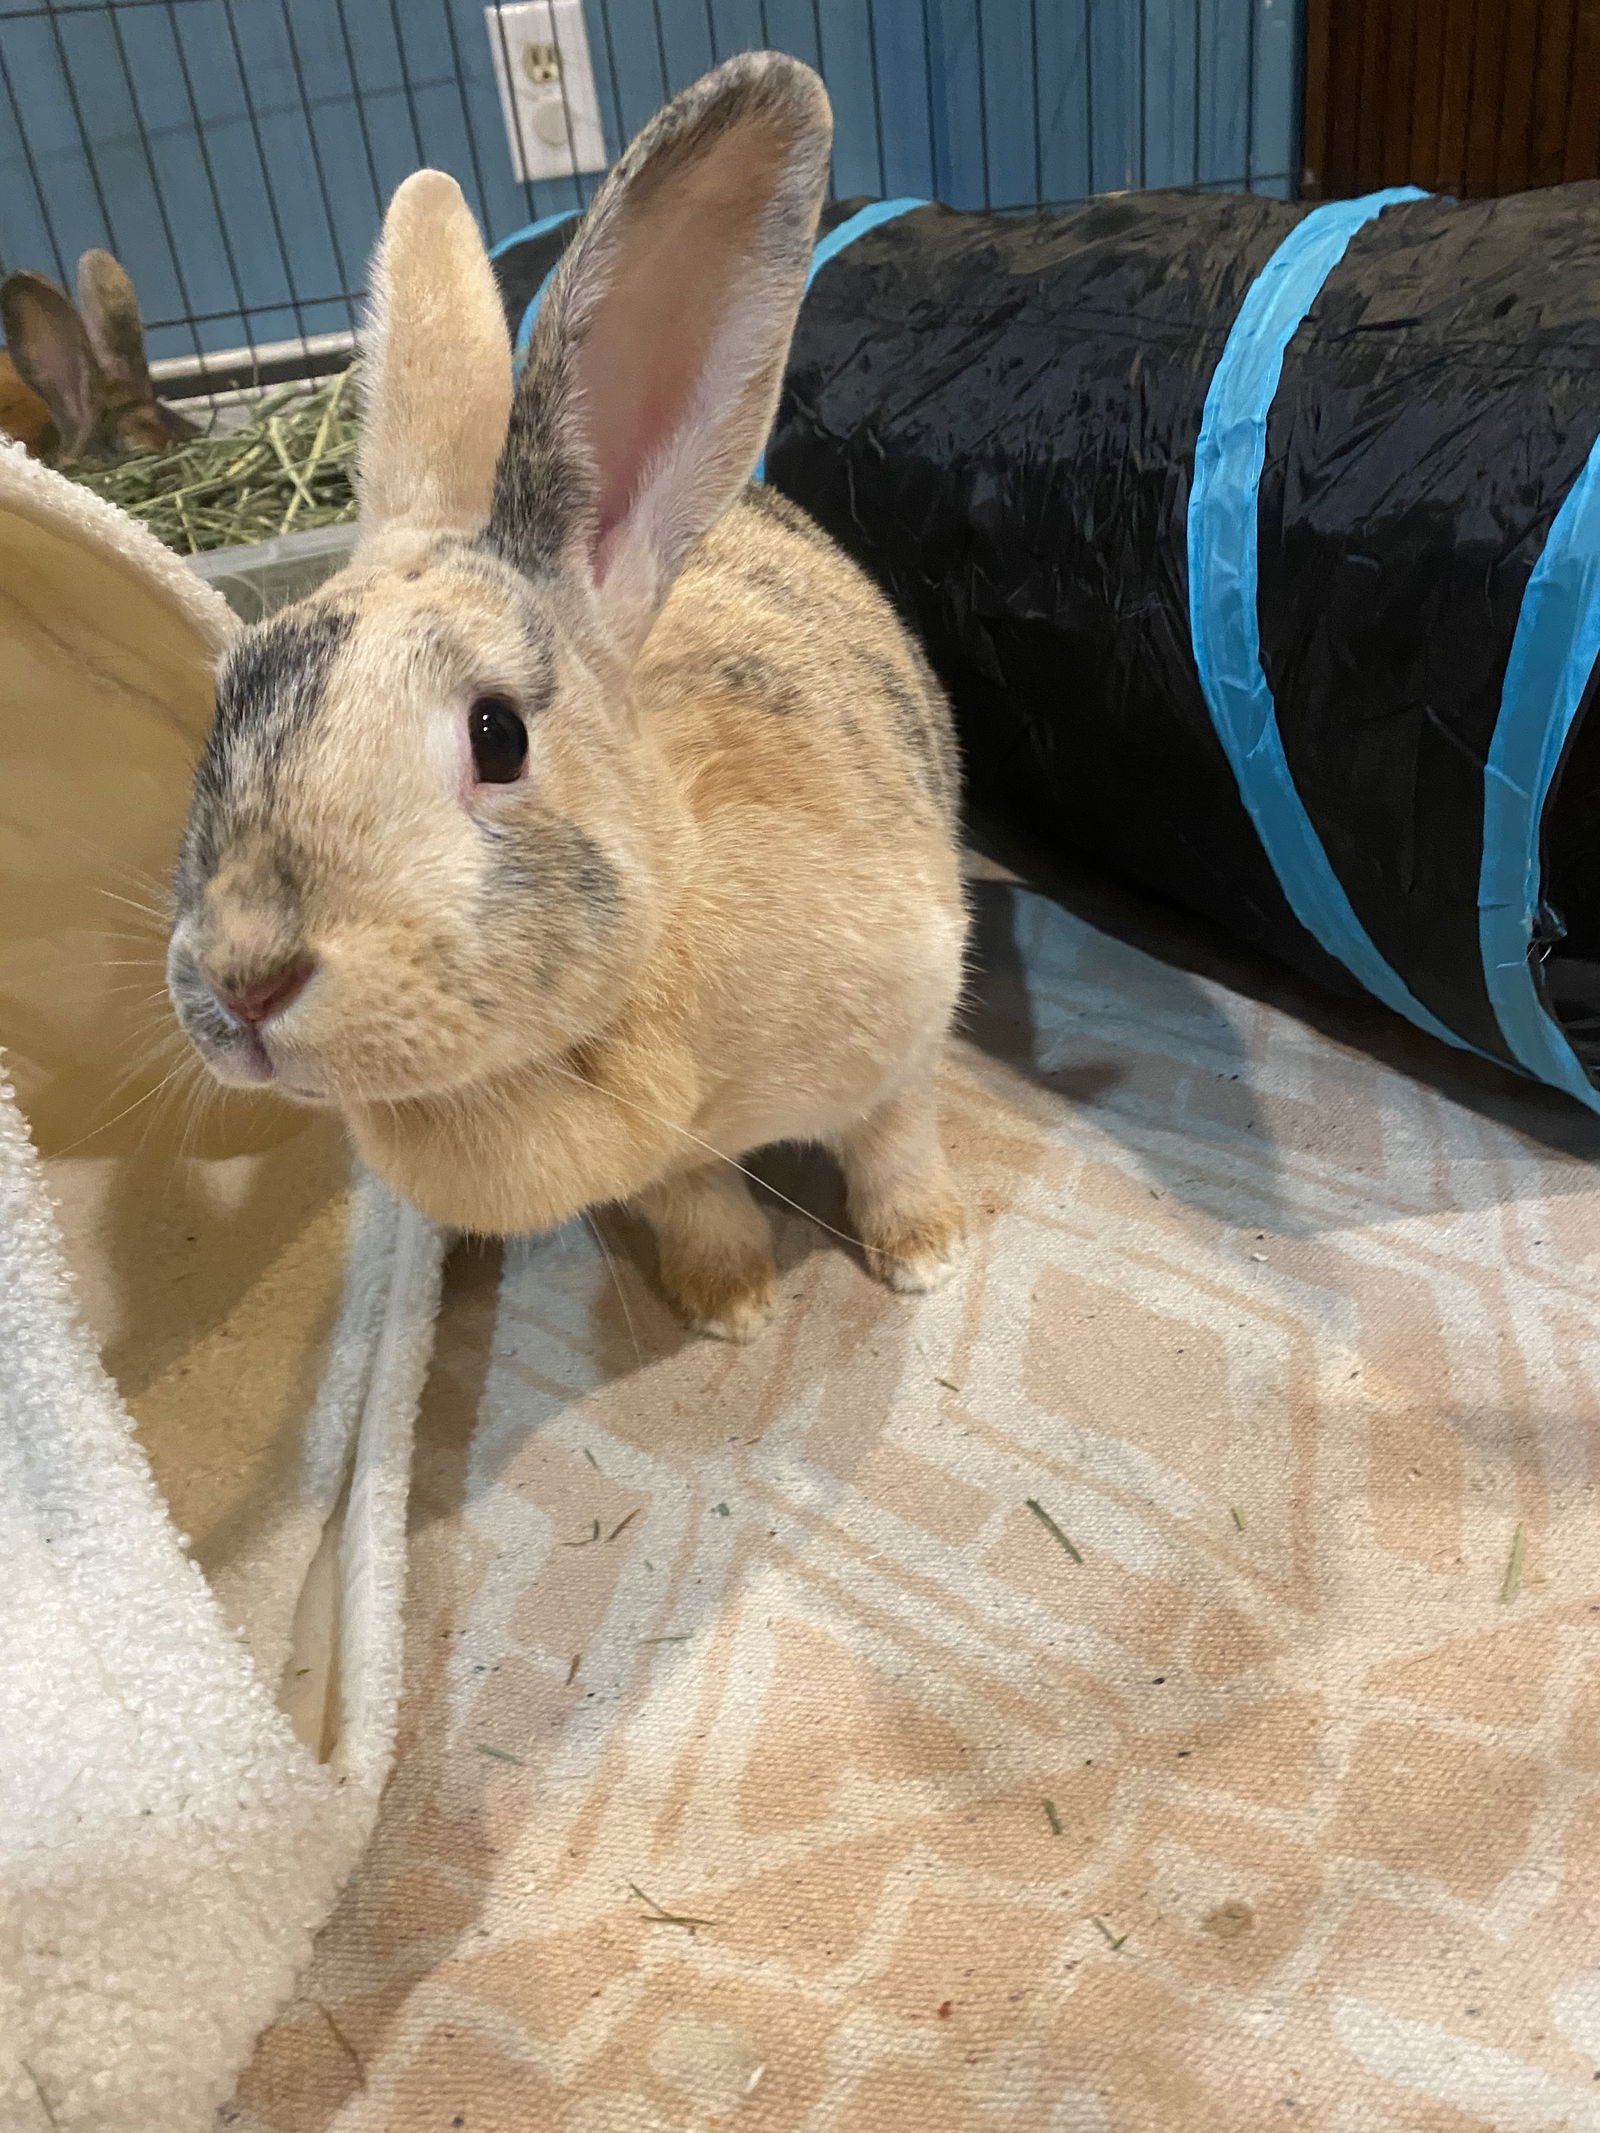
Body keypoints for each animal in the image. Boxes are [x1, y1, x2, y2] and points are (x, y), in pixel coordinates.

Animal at [166, 58, 964, 1339]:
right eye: (230, 694)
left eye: (498, 736)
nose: (243, 982)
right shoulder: (668, 1171)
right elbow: (699, 1208)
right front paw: (730, 1307)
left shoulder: (909, 1031)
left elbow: (896, 1142)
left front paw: (925, 1258)